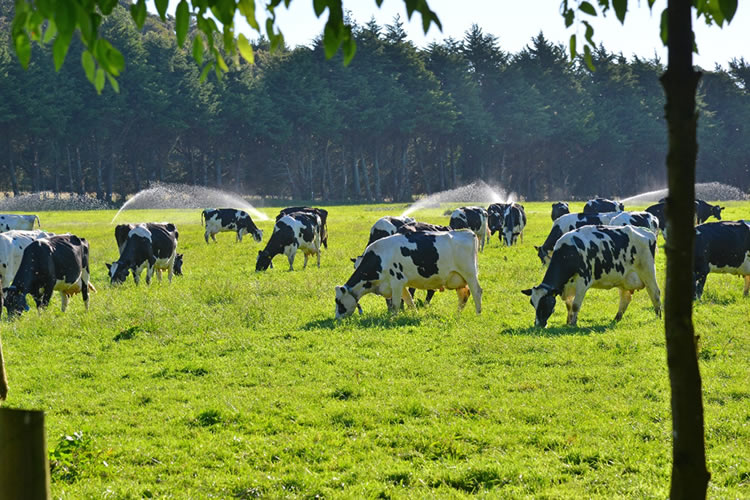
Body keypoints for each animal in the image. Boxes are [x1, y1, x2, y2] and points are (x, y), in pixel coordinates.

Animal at [334, 229, 482, 318]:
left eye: (339, 302)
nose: (337, 319)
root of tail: (467, 232)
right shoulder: (400, 284)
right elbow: (409, 300)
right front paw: (414, 314)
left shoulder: (396, 281)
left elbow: (395, 304)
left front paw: (392, 319)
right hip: (458, 279)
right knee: (463, 295)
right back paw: (457, 314)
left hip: (469, 273)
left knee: (476, 292)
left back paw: (478, 313)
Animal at [524, 227, 664, 328]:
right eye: (532, 303)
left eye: (544, 302)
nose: (538, 325)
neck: (569, 252)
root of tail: (647, 232)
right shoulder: (567, 286)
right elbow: (569, 305)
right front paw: (568, 321)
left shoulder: (583, 282)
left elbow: (575, 305)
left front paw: (573, 324)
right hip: (624, 278)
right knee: (625, 298)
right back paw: (616, 319)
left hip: (648, 271)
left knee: (655, 293)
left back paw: (658, 317)